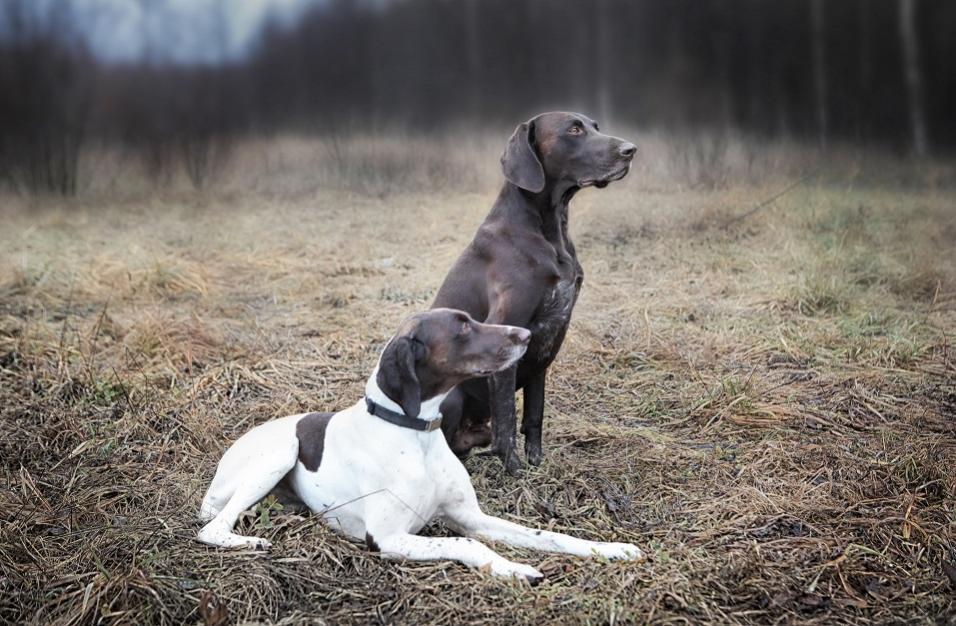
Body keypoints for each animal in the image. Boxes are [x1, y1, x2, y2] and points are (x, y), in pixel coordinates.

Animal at [197, 308, 643, 580]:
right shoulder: (386, 537)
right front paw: (514, 569)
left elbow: (547, 535)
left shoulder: (471, 516)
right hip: (279, 454)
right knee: (212, 528)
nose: (526, 333)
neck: (415, 434)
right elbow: (466, 543)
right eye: (462, 327)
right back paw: (248, 540)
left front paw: (610, 549)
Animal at [434, 112, 636, 474]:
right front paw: (515, 472)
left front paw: (536, 463)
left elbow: (534, 414)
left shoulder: (545, 346)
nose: (631, 150)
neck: (550, 230)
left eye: (595, 127)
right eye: (574, 129)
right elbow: (507, 420)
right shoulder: (507, 334)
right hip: (452, 393)